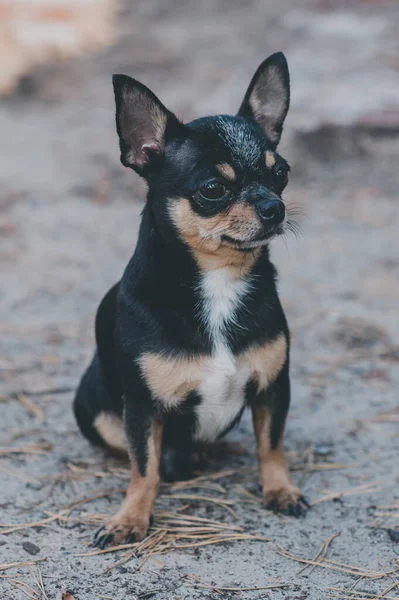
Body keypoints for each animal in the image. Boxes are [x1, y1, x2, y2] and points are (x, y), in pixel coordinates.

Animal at [72, 51, 310, 548]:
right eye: (212, 189)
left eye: (280, 173)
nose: (274, 207)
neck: (220, 281)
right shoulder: (142, 409)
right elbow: (144, 468)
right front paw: (130, 518)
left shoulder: (273, 388)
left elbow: (271, 446)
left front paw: (280, 489)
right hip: (94, 410)